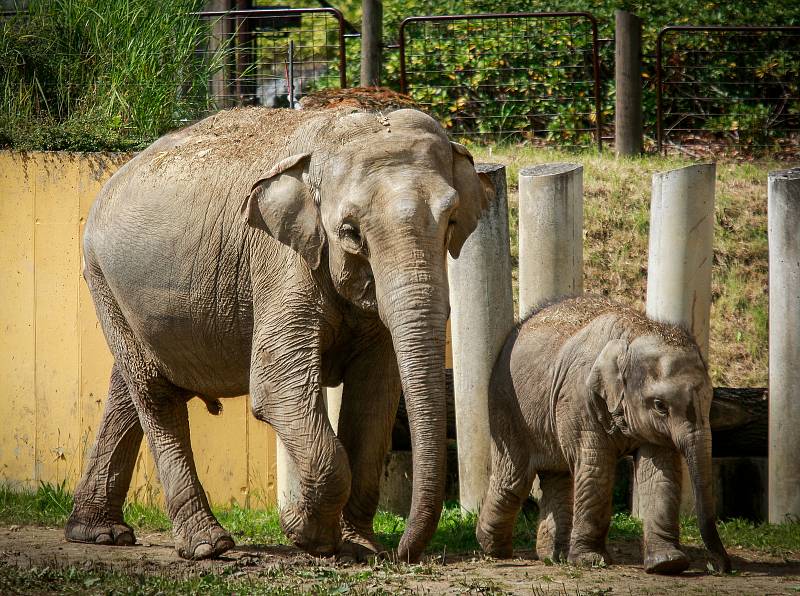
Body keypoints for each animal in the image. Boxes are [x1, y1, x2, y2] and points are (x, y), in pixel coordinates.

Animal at [67, 108, 494, 564]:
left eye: (452, 221)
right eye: (350, 233)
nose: (401, 552)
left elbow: (375, 392)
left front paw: (358, 547)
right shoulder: (281, 260)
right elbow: (275, 385)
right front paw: (307, 535)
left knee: (131, 388)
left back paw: (99, 533)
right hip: (102, 277)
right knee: (155, 394)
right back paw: (208, 546)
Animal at [476, 296, 732, 576]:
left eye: (710, 401)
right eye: (659, 405)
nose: (720, 567)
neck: (638, 330)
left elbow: (659, 472)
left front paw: (668, 563)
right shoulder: (579, 398)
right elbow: (596, 466)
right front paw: (590, 561)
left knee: (558, 476)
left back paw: (553, 556)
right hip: (507, 407)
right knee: (514, 480)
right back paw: (494, 550)